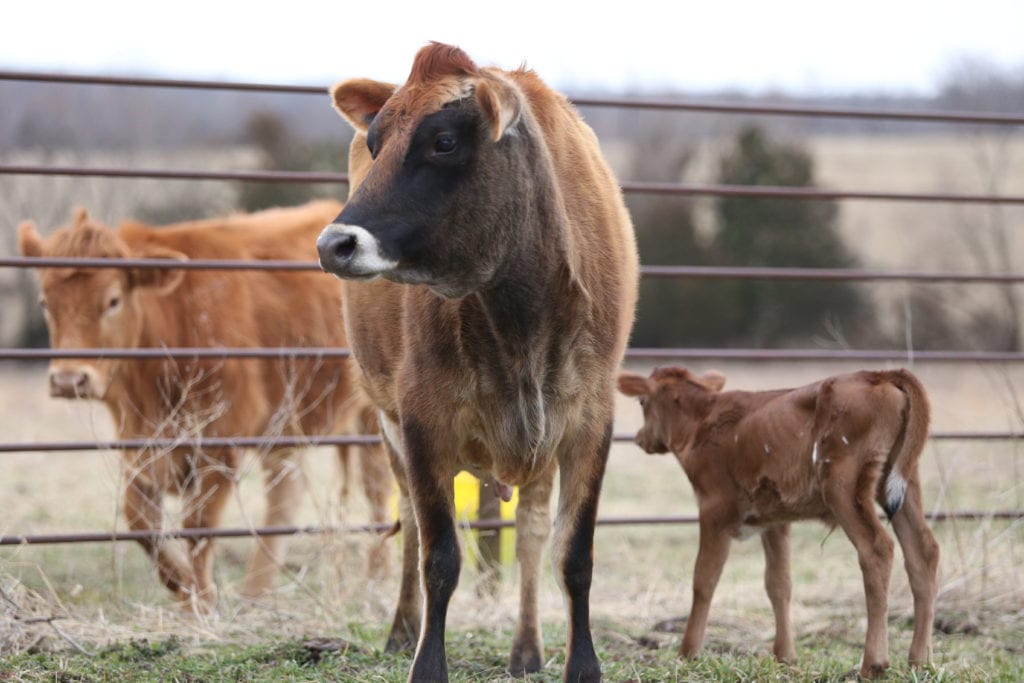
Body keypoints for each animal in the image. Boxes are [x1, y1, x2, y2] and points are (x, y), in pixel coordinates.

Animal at [16, 200, 391, 610]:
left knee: (376, 491)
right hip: (285, 427)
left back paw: (374, 583)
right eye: (45, 303)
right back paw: (255, 592)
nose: (69, 379)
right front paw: (185, 591)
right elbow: (141, 522)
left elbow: (198, 526)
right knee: (284, 497)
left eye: (113, 301)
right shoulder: (140, 445)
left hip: (373, 417)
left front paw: (200, 602)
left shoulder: (220, 443)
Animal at [317, 44, 638, 683]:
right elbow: (438, 556)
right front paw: (426, 665)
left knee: (533, 532)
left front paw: (582, 665)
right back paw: (401, 631)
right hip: (388, 423)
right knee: (411, 523)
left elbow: (574, 554)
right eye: (376, 143)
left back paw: (527, 648)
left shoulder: (591, 420)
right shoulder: (422, 420)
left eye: (442, 141)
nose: (334, 244)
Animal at [618, 368, 937, 679]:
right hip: (904, 480)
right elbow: (778, 583)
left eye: (642, 402)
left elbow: (704, 579)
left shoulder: (714, 508)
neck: (701, 421)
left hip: (843, 482)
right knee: (923, 550)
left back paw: (874, 663)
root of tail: (880, 374)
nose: (639, 438)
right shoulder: (775, 518)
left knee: (877, 548)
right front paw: (785, 657)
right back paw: (920, 661)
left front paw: (687, 653)